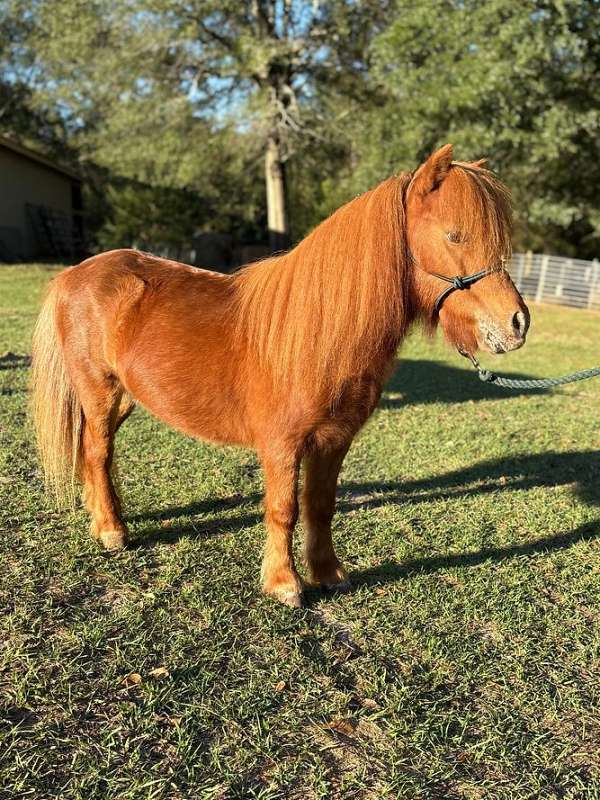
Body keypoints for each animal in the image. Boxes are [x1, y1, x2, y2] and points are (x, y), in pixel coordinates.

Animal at [31, 144, 529, 607]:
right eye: (455, 235)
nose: (517, 324)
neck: (317, 334)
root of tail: (76, 272)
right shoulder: (281, 445)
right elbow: (284, 508)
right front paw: (284, 583)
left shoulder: (334, 440)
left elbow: (320, 505)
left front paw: (328, 573)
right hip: (98, 393)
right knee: (98, 452)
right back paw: (112, 531)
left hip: (124, 398)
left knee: (92, 453)